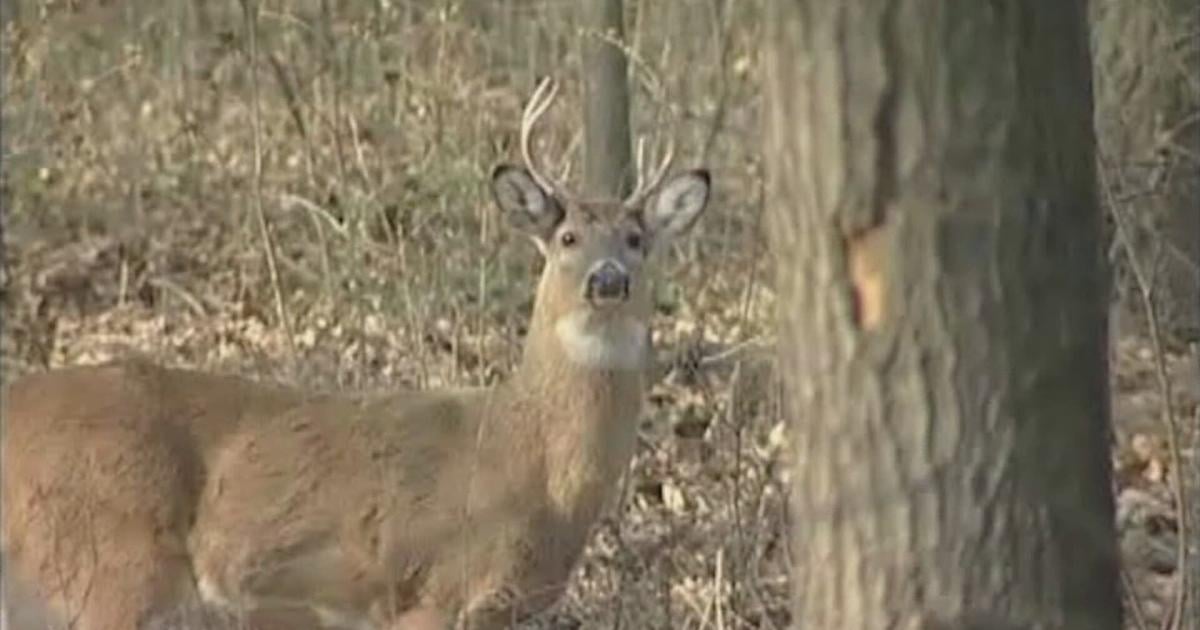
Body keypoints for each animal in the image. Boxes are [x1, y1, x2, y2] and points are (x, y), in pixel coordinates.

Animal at [1, 77, 712, 630]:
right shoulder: (433, 588)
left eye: (636, 239)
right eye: (567, 237)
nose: (609, 280)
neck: (531, 462)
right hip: (103, 562)